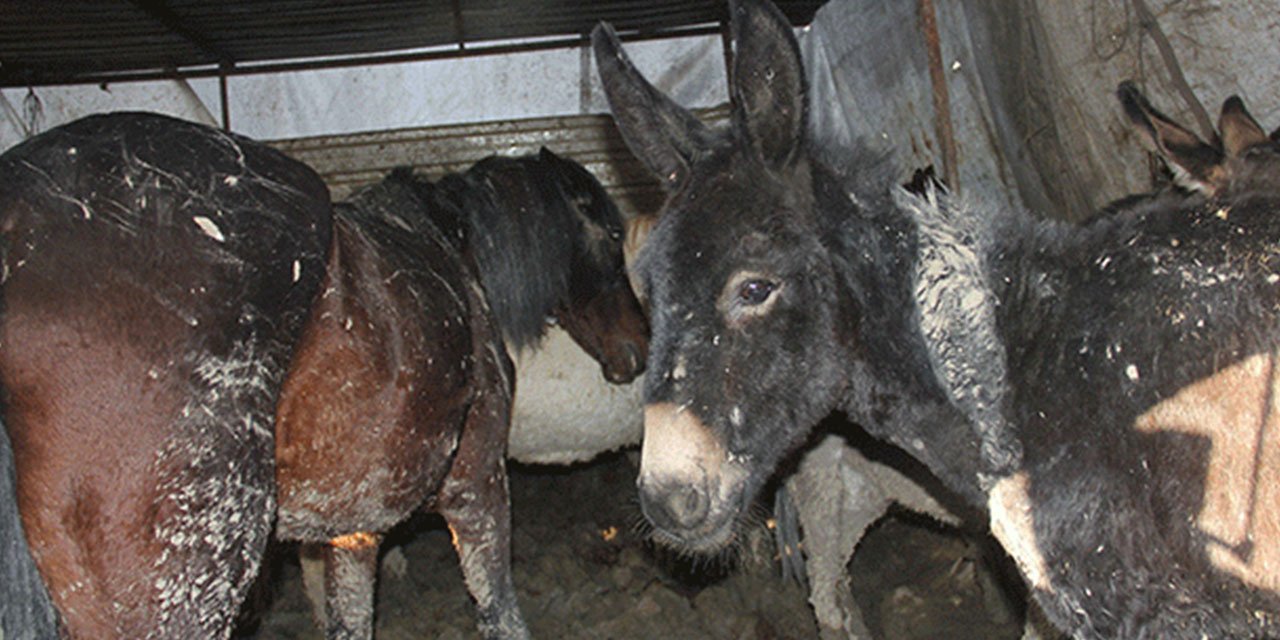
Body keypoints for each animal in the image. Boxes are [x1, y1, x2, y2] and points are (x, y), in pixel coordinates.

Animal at [0, 112, 645, 637]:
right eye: (612, 235)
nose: (638, 349)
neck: (447, 250)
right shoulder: (478, 485)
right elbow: (498, 610)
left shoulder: (352, 528)